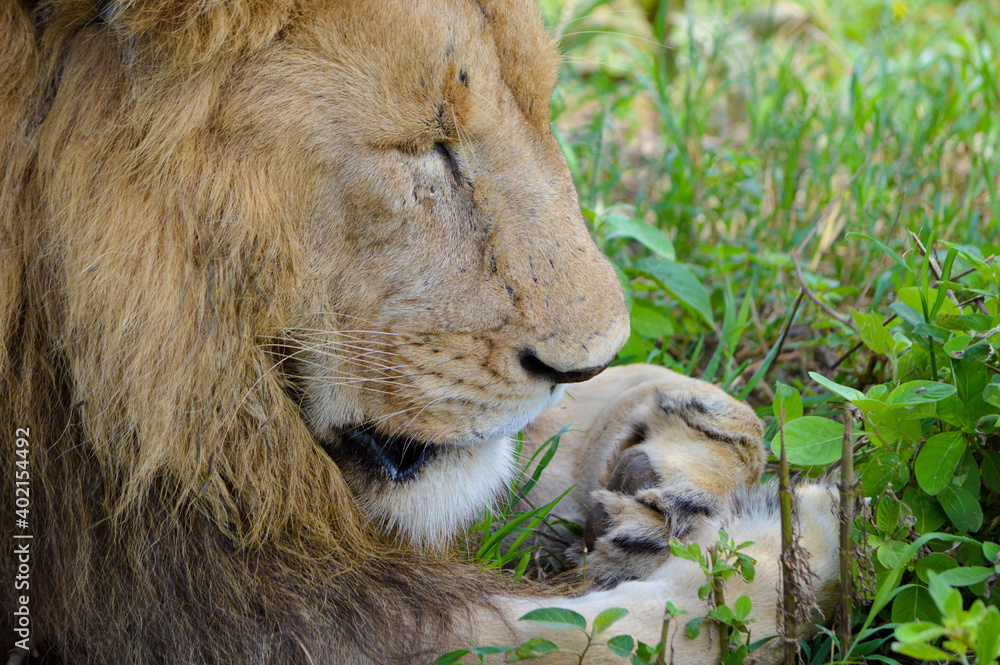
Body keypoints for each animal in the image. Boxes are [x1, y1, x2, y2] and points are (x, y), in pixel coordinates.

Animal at [1, 1, 840, 663]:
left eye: (541, 104)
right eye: (423, 146)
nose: (585, 358)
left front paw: (677, 447)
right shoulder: (184, 604)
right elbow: (594, 635)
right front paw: (792, 543)